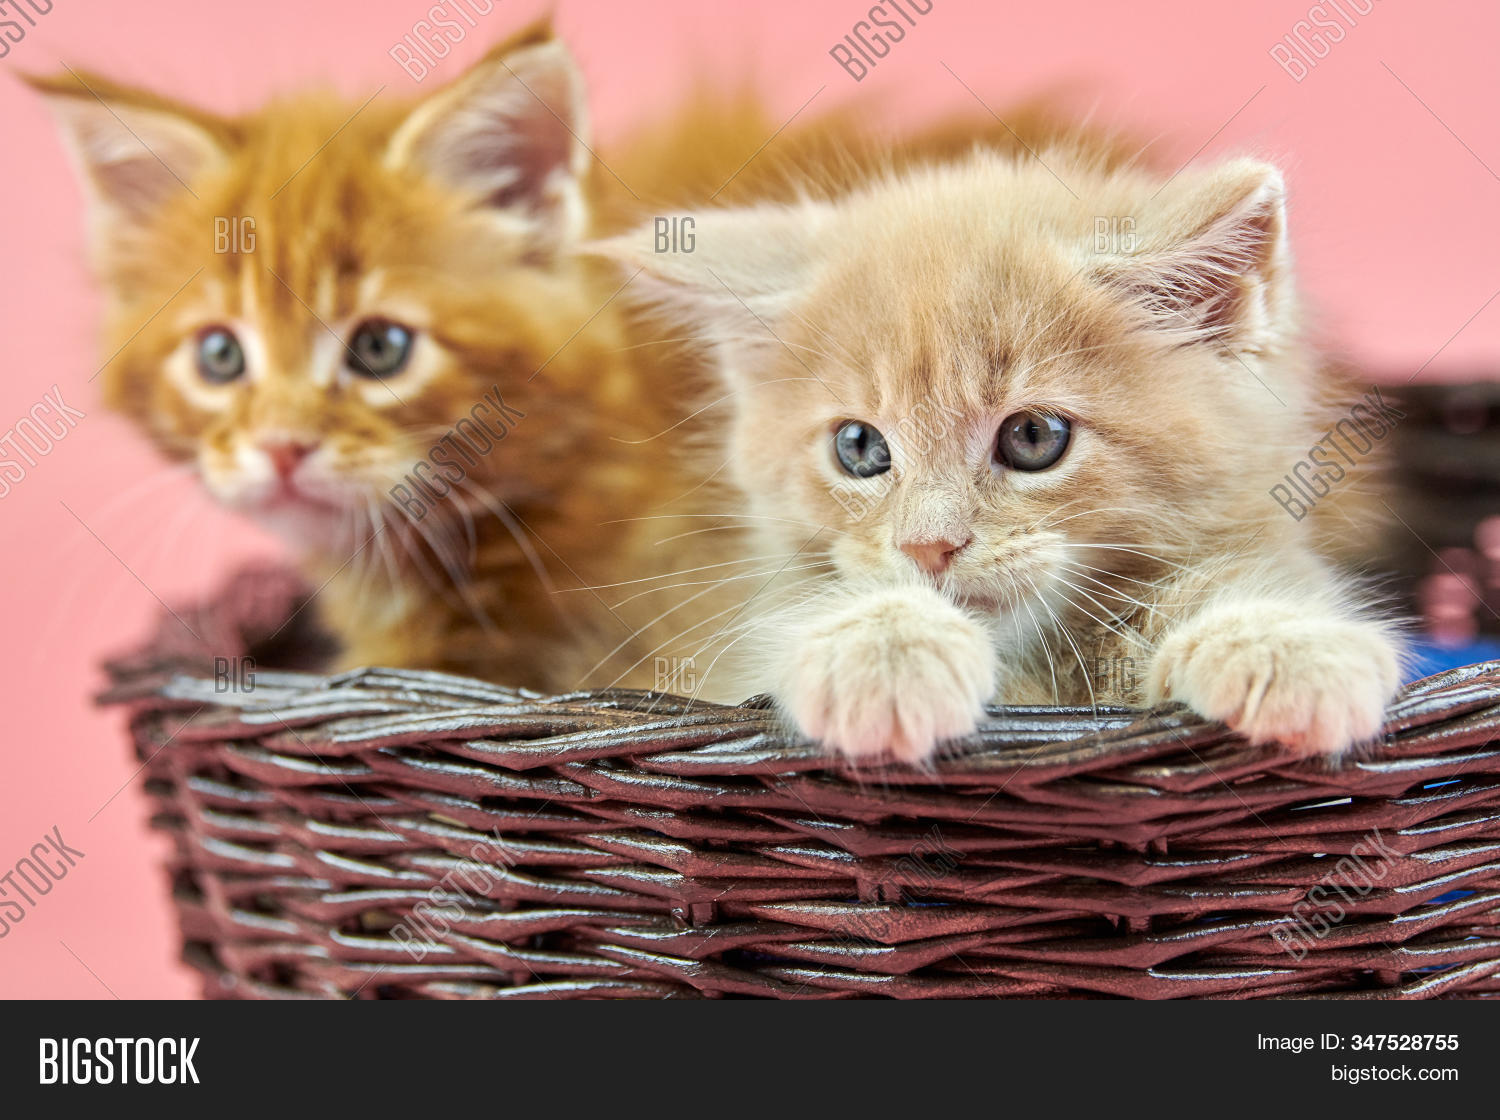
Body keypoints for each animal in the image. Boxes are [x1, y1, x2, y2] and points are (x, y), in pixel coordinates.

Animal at [600, 147, 1407, 761]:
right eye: (858, 447)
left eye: (1032, 437)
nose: (928, 547)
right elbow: (795, 613)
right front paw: (886, 649)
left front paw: (1282, 641)